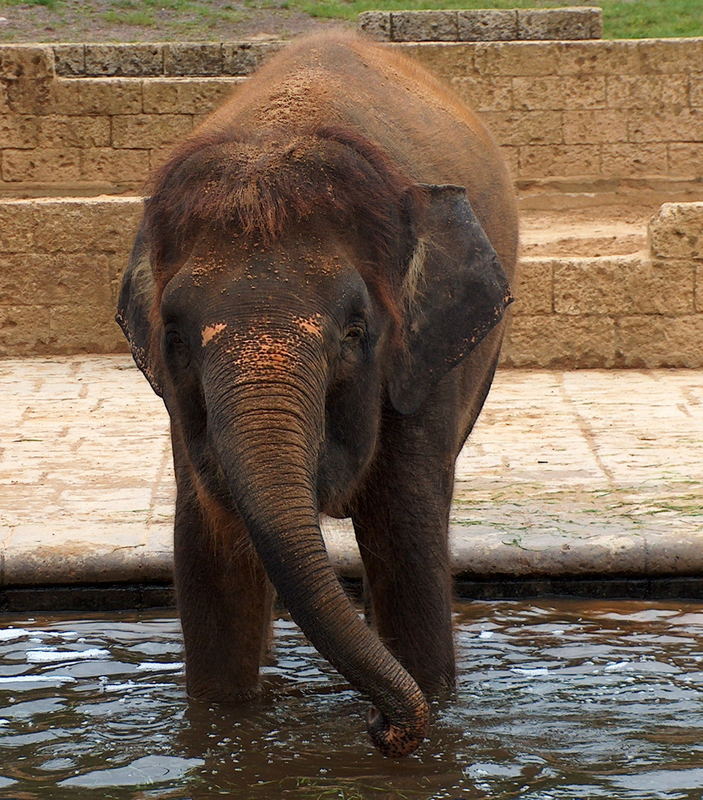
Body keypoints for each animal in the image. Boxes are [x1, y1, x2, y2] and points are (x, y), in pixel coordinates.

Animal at [117, 31, 516, 756]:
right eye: (175, 336)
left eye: (355, 332)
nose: (381, 727)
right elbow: (208, 552)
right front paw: (230, 723)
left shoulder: (418, 369)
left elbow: (406, 539)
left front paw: (426, 706)